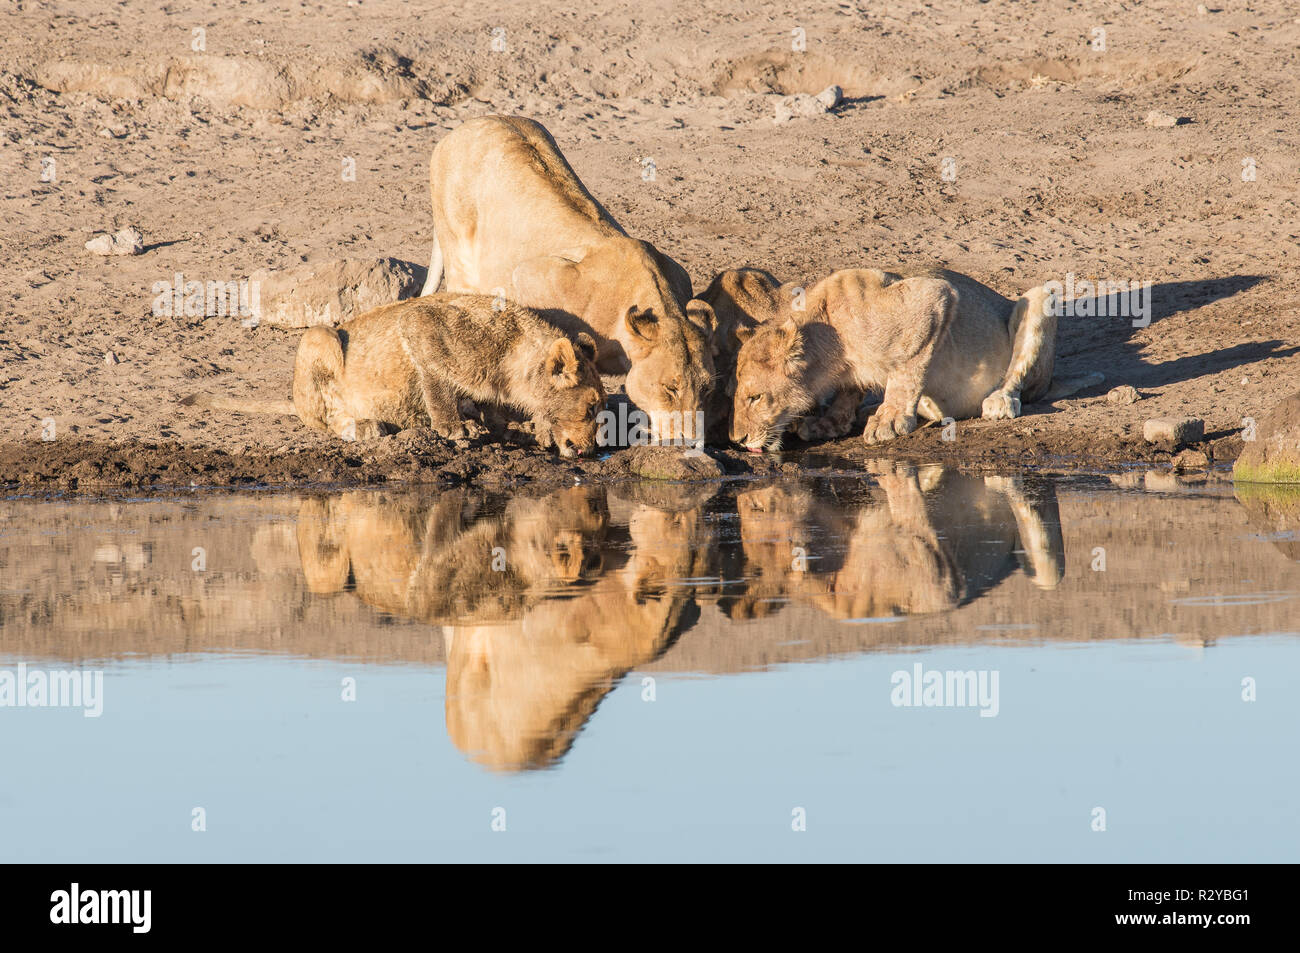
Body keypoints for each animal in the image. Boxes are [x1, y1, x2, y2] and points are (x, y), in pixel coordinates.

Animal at [185, 291, 605, 455]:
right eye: (589, 408)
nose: (590, 449)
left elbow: (496, 413)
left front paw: (527, 428)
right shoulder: (421, 322)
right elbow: (437, 383)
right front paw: (455, 429)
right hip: (318, 336)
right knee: (324, 420)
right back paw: (367, 427)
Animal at [717, 263, 1102, 449]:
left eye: (755, 398)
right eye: (733, 397)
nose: (737, 440)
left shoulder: (932, 296)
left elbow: (907, 371)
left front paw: (888, 420)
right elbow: (849, 392)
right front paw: (829, 422)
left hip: (1040, 297)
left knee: (1017, 378)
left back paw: (999, 401)